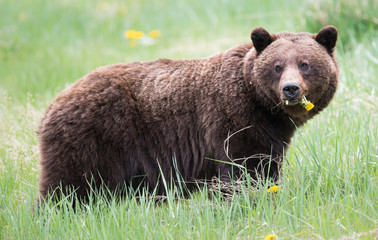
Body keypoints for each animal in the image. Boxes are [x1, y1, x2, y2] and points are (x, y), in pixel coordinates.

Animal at [37, 25, 340, 201]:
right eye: (277, 66)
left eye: (305, 64)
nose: (290, 89)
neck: (264, 108)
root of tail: (53, 103)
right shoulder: (232, 119)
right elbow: (240, 168)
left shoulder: (271, 135)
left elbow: (266, 167)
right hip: (95, 137)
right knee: (69, 187)